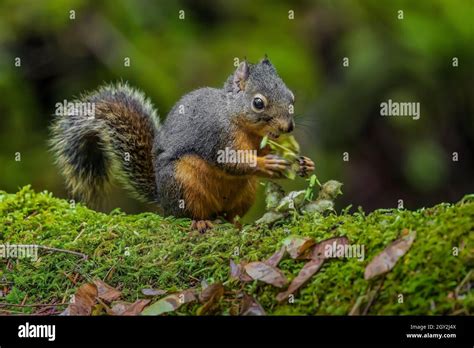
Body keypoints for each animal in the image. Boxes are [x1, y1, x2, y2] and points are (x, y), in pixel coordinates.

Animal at [50, 57, 314, 232]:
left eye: (291, 97)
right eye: (258, 103)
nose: (287, 127)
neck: (235, 117)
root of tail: (162, 198)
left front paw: (304, 164)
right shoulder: (218, 135)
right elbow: (231, 161)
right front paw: (269, 164)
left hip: (246, 191)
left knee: (230, 215)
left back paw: (236, 223)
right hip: (183, 183)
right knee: (187, 215)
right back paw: (201, 221)